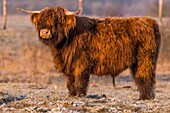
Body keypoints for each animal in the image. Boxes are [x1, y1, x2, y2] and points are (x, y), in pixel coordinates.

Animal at [17, 6, 161, 100]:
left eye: (57, 21)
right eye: (40, 21)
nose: (44, 32)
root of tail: (149, 21)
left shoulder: (81, 63)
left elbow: (80, 79)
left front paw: (80, 94)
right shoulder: (68, 64)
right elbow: (70, 80)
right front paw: (72, 94)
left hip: (145, 59)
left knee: (145, 77)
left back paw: (145, 97)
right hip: (137, 62)